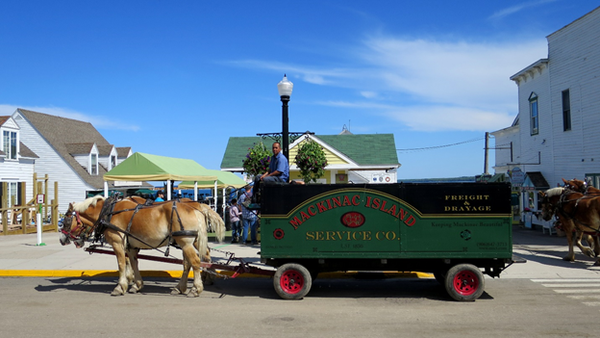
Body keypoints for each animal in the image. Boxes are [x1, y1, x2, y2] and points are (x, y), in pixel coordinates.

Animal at [59, 195, 225, 296]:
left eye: (66, 220)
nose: (61, 239)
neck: (108, 212)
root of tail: (197, 206)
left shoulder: (118, 243)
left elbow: (121, 264)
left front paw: (120, 287)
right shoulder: (131, 247)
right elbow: (133, 263)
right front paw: (136, 284)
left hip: (185, 241)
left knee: (196, 262)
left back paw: (196, 289)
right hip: (191, 241)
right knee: (191, 262)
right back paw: (181, 287)